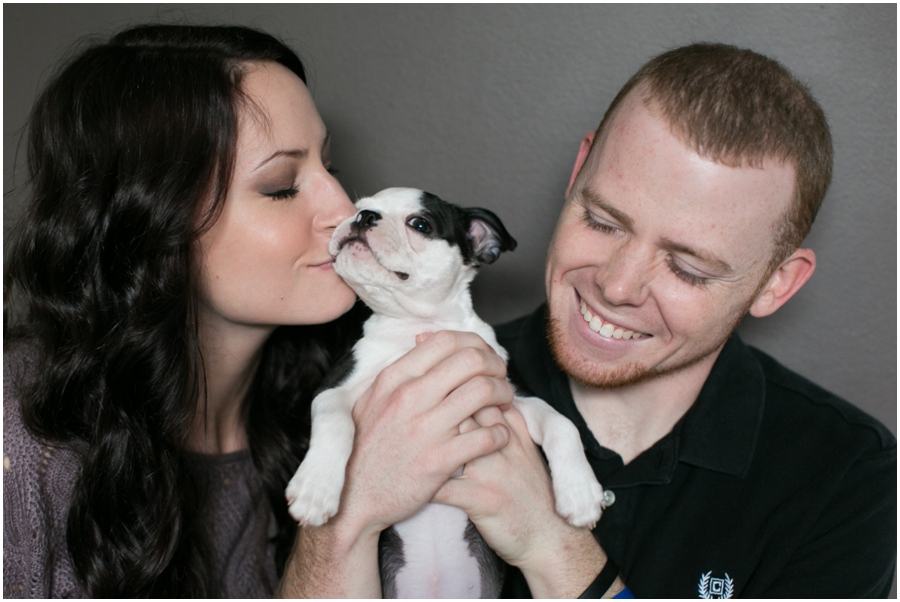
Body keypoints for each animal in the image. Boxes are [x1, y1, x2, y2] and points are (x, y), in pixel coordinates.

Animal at [284, 186, 600, 596]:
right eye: (354, 209)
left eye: (420, 224)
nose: (364, 217)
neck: (423, 324)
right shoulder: (334, 386)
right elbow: (336, 423)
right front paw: (315, 488)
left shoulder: (512, 392)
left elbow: (562, 423)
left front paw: (580, 492)